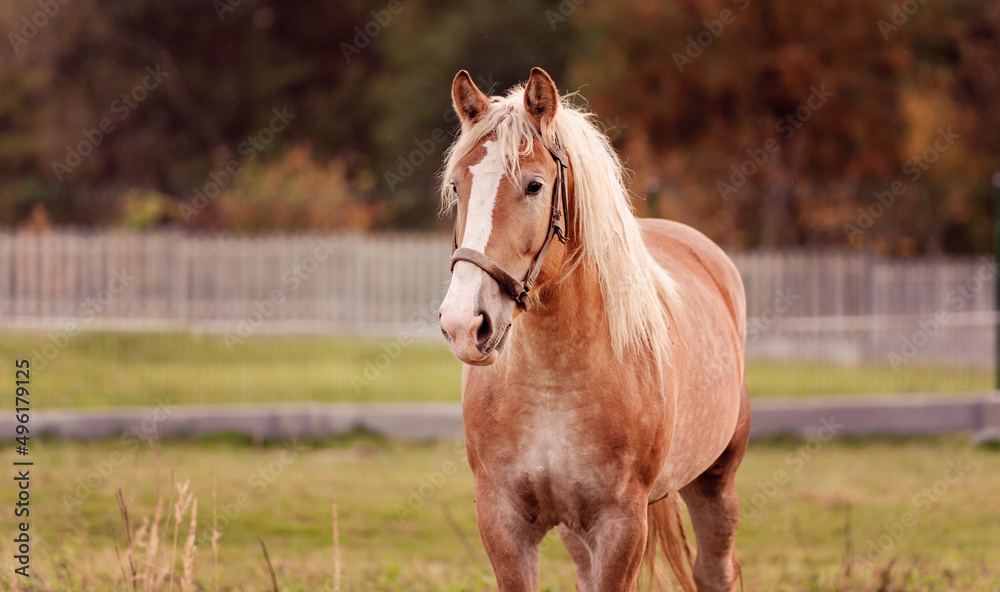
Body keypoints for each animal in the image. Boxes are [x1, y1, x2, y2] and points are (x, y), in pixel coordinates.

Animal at [438, 67, 750, 592]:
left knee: (714, 571)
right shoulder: (504, 524)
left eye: (535, 186)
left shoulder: (621, 525)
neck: (552, 380)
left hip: (716, 482)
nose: (464, 323)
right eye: (458, 186)